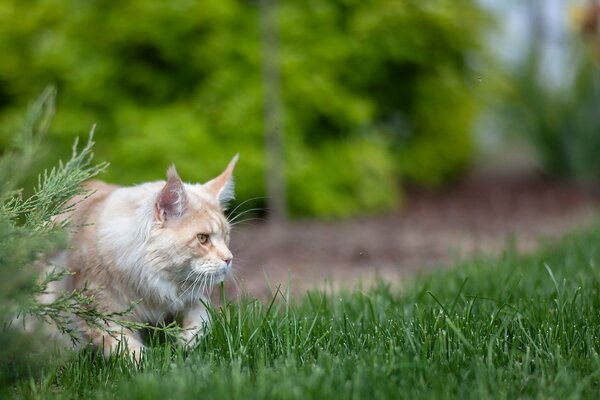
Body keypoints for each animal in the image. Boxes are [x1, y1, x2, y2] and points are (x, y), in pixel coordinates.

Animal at [52, 155, 239, 360]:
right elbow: (129, 350)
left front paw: (185, 346)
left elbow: (201, 322)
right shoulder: (95, 315)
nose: (229, 259)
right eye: (203, 238)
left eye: (226, 236)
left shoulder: (193, 299)